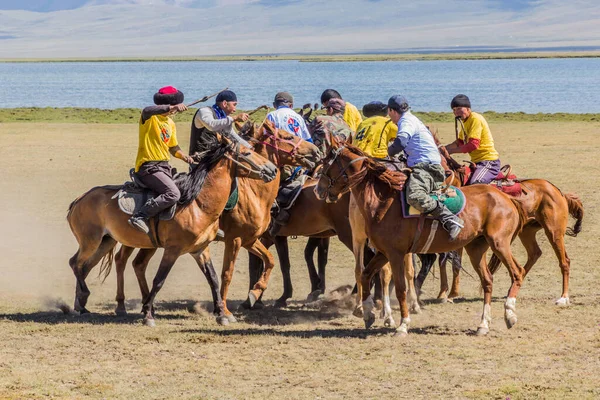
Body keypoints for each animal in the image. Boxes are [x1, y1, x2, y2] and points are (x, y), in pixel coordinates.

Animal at [67, 136, 278, 326]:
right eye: (247, 153)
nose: (273, 169)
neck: (198, 203)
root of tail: (79, 199)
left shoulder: (201, 249)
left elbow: (214, 278)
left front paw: (222, 314)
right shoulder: (175, 249)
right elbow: (160, 280)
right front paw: (148, 316)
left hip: (108, 241)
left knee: (91, 266)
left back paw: (83, 305)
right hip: (91, 242)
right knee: (77, 263)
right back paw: (92, 299)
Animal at [109, 120, 322, 324]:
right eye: (287, 136)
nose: (316, 151)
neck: (253, 192)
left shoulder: (250, 240)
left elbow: (269, 261)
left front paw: (253, 294)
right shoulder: (234, 240)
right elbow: (227, 274)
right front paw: (226, 309)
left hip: (149, 243)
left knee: (137, 264)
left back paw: (145, 306)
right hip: (135, 240)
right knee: (121, 260)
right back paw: (122, 305)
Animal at [314, 142, 524, 336]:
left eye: (327, 164)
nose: (317, 190)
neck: (382, 202)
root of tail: (505, 197)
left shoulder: (396, 254)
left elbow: (400, 288)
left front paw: (403, 325)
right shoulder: (383, 252)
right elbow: (366, 274)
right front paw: (367, 314)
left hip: (498, 243)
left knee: (517, 272)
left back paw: (510, 314)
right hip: (476, 248)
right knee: (488, 280)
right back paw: (483, 325)